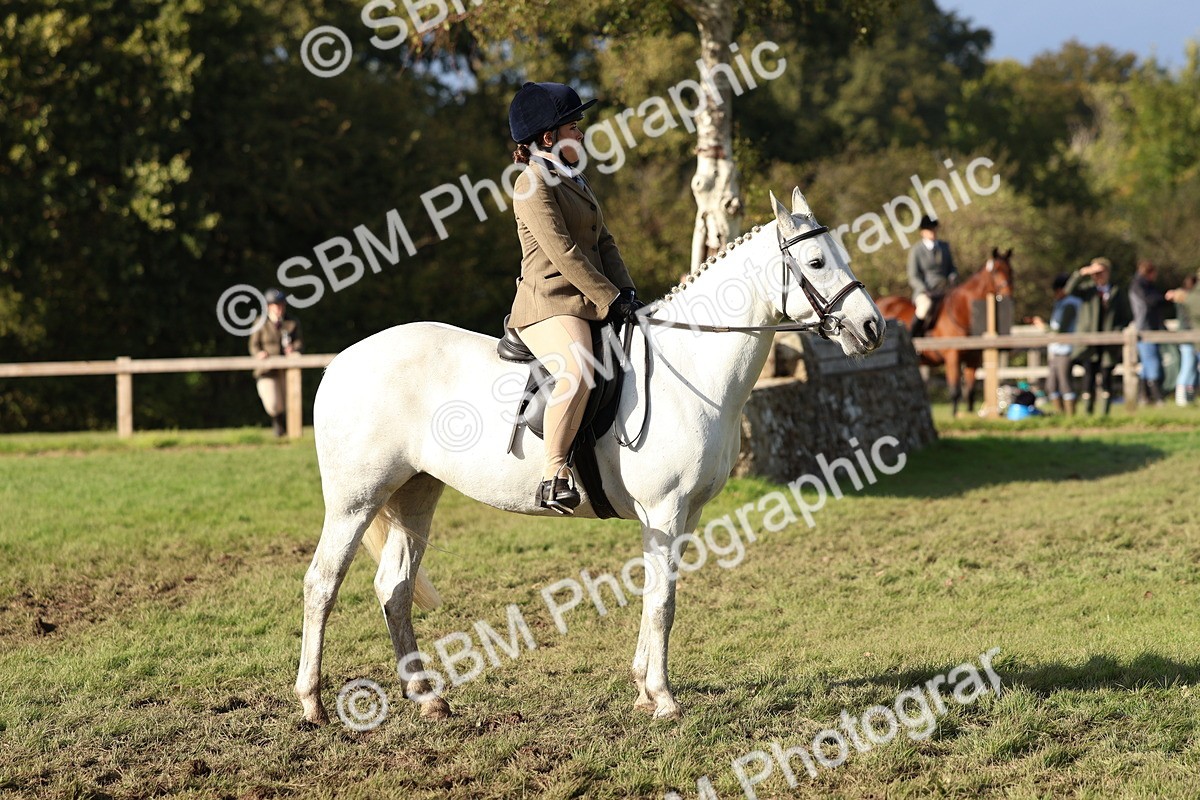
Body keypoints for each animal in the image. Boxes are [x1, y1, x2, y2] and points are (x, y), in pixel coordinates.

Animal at [294, 188, 885, 726]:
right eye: (816, 262)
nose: (872, 328)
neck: (690, 368)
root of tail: (342, 361)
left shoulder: (684, 515)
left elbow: (658, 594)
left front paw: (644, 690)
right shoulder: (665, 510)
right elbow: (662, 602)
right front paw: (663, 700)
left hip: (416, 492)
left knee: (393, 588)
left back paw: (427, 698)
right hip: (356, 500)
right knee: (322, 582)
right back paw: (313, 704)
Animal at [876, 248, 1014, 416]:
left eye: (1011, 270)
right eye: (995, 271)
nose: (1008, 295)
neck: (962, 313)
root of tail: (882, 301)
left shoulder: (973, 360)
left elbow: (970, 392)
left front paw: (969, 414)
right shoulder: (952, 357)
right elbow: (955, 391)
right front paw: (955, 416)